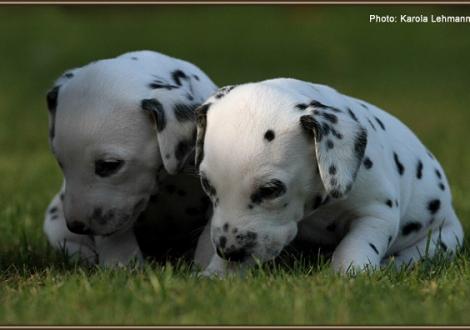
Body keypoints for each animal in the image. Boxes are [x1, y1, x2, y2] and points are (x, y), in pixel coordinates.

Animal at [193, 78, 464, 274]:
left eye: (270, 189)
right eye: (206, 184)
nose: (229, 251)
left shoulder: (378, 212)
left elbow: (357, 243)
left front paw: (349, 273)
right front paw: (218, 273)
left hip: (441, 239)